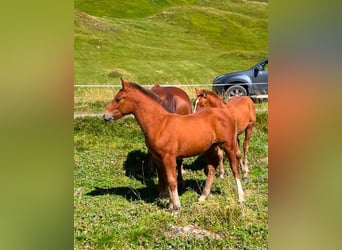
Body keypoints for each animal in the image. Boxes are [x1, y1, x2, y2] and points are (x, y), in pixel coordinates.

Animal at [103, 78, 244, 211]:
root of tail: (224, 112)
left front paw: (176, 207)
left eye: (118, 99)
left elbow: (171, 181)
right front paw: (170, 204)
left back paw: (241, 197)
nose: (105, 116)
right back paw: (203, 197)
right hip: (209, 148)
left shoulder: (168, 157)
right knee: (211, 168)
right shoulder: (158, 159)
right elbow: (165, 179)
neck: (159, 123)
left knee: (234, 168)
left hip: (228, 145)